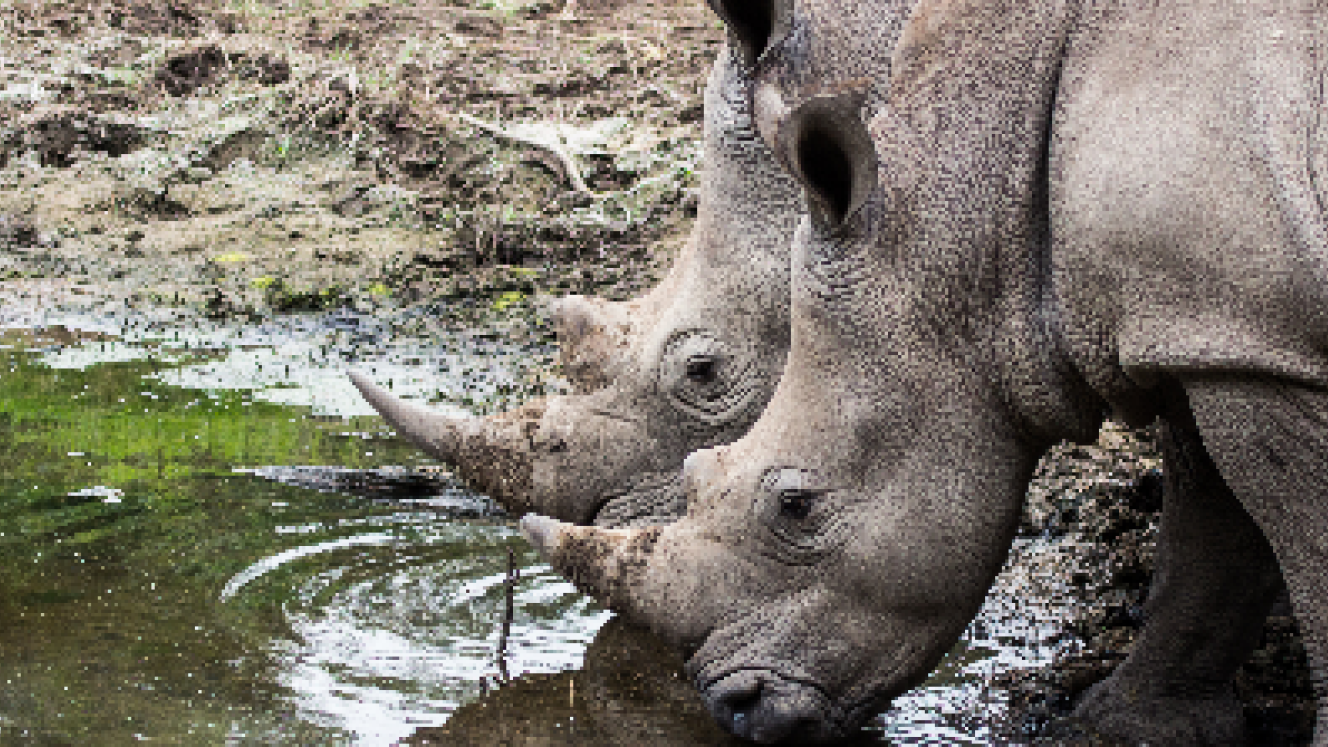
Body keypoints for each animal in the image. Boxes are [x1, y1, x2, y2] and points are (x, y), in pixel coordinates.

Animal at [519, 0, 1328, 744]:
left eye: (796, 507)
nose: (737, 708)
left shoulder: (1241, 334)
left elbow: (1299, 539)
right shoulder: (1204, 324)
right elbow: (1212, 532)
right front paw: (1124, 725)